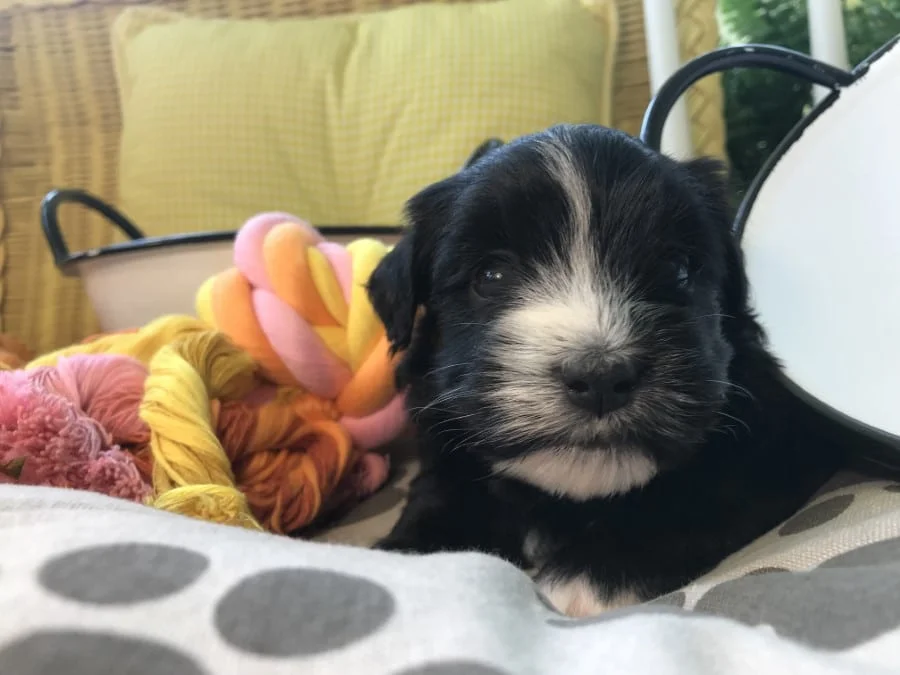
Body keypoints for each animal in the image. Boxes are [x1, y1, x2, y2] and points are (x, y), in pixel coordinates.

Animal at [366, 124, 847, 617]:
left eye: (677, 268)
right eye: (490, 276)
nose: (600, 377)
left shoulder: (775, 439)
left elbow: (700, 490)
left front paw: (588, 576)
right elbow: (440, 494)